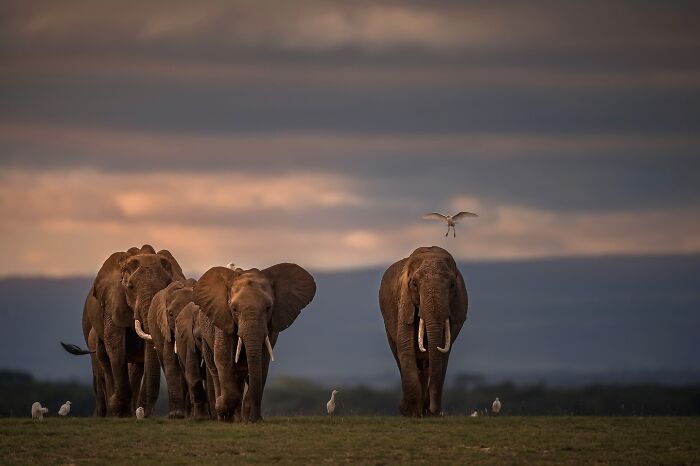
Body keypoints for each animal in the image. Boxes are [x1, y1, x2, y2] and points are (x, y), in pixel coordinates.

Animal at [62, 246, 186, 416]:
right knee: (104, 360)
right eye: (130, 287)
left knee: (137, 367)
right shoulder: (112, 302)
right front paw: (117, 407)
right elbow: (114, 344)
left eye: (166, 286)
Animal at [193, 262, 316, 422]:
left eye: (268, 308)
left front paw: (251, 419)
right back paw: (225, 418)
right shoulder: (223, 319)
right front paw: (222, 407)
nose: (252, 419)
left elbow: (262, 362)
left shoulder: (270, 327)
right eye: (234, 309)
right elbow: (223, 357)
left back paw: (240, 419)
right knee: (215, 370)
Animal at [380, 246, 468, 416]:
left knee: (427, 363)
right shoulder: (404, 300)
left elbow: (442, 352)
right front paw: (410, 413)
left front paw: (427, 412)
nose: (433, 410)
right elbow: (405, 344)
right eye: (414, 284)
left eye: (452, 285)